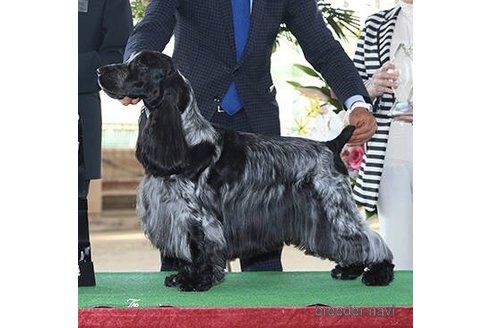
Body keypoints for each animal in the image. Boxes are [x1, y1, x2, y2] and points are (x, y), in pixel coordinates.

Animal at [98, 51, 394, 292]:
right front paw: (180, 277)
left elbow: (200, 248)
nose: (100, 71)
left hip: (333, 205)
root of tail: (330, 145)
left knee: (369, 238)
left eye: (139, 65)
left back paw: (379, 273)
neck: (187, 136)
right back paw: (349, 269)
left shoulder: (198, 216)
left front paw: (195, 281)